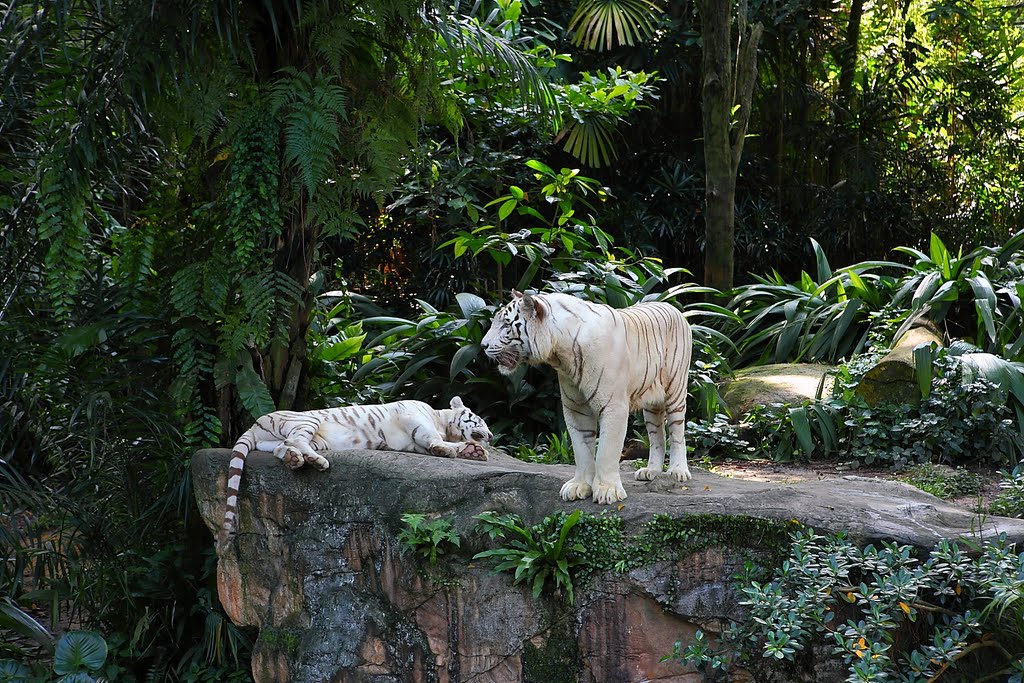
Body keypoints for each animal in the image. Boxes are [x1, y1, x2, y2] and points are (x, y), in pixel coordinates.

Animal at [216, 397, 491, 548]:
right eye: (479, 420)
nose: (490, 436)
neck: (442, 421)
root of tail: (255, 424)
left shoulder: (410, 443)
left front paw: (472, 451)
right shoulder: (413, 418)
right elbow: (431, 437)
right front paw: (451, 449)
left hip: (289, 441)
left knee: (283, 446)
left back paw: (295, 460)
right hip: (306, 422)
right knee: (295, 439)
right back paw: (317, 462)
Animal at [481, 290, 696, 505]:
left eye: (506, 325)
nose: (483, 345)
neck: (560, 354)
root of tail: (673, 307)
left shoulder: (613, 406)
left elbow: (606, 451)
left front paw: (608, 490)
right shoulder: (576, 408)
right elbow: (581, 450)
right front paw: (580, 486)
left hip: (676, 390)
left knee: (677, 432)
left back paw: (678, 471)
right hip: (651, 404)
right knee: (656, 435)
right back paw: (651, 471)